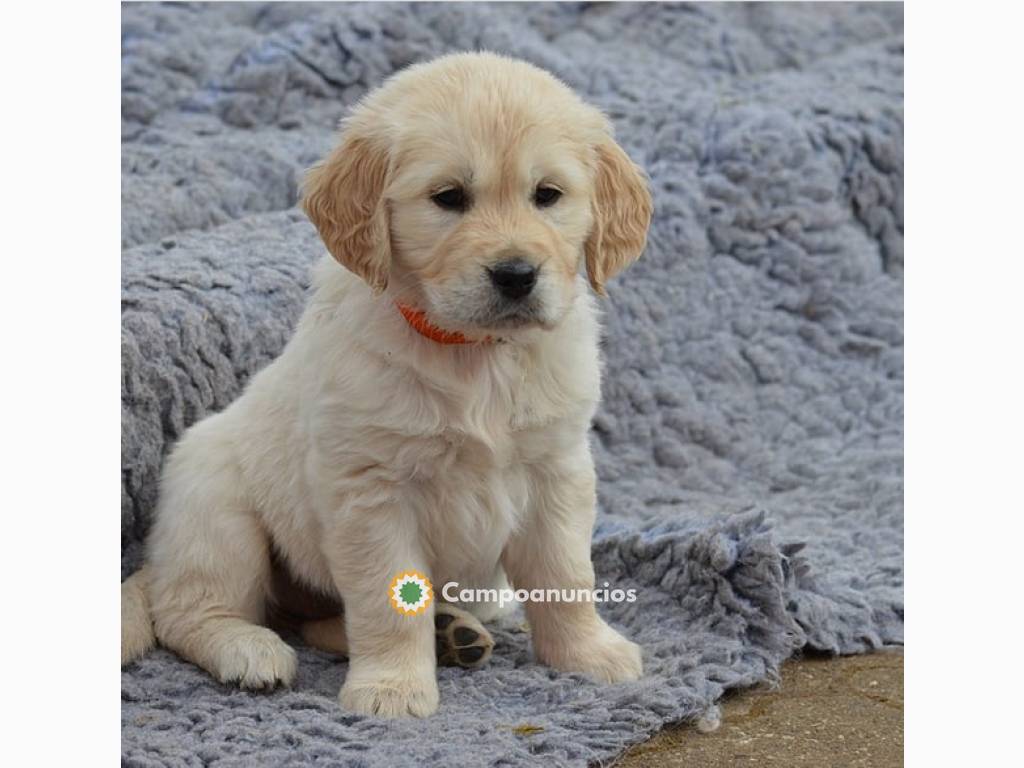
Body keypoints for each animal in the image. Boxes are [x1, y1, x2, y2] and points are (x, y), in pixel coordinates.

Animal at [119, 51, 647, 720]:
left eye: (548, 195)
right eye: (448, 197)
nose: (516, 275)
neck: (474, 356)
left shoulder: (557, 469)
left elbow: (565, 575)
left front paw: (587, 654)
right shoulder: (371, 490)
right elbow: (387, 599)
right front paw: (392, 689)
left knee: (320, 619)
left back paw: (454, 630)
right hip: (217, 510)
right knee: (187, 611)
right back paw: (249, 649)